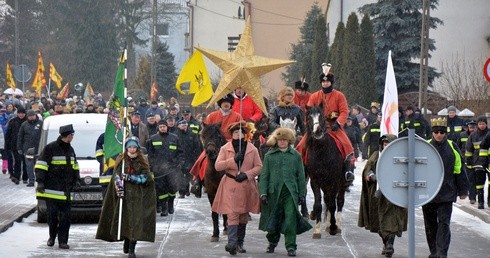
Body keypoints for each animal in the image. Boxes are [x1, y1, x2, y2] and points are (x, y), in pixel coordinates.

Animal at [304, 105, 346, 238]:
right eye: (309, 117)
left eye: (322, 116)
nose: (317, 131)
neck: (321, 151)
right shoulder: (315, 181)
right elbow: (318, 204)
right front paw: (317, 230)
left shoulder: (333, 181)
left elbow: (333, 205)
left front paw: (333, 227)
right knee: (327, 200)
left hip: (341, 182)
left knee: (339, 201)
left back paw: (337, 225)